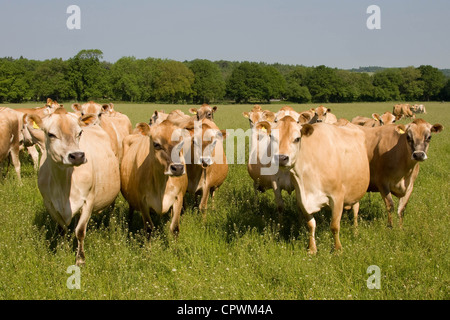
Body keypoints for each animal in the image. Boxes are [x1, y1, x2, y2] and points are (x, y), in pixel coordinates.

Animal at [27, 108, 120, 264]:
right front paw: (62, 252)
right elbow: (62, 229)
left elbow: (80, 231)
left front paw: (80, 259)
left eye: (79, 133)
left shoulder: (88, 201)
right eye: (51, 134)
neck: (63, 184)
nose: (77, 156)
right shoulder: (50, 204)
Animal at [270, 117, 370, 252]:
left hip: (356, 191)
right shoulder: (302, 198)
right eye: (272, 137)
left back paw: (355, 231)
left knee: (355, 211)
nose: (281, 158)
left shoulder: (337, 196)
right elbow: (311, 225)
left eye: (297, 139)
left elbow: (334, 226)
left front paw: (337, 249)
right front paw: (312, 248)